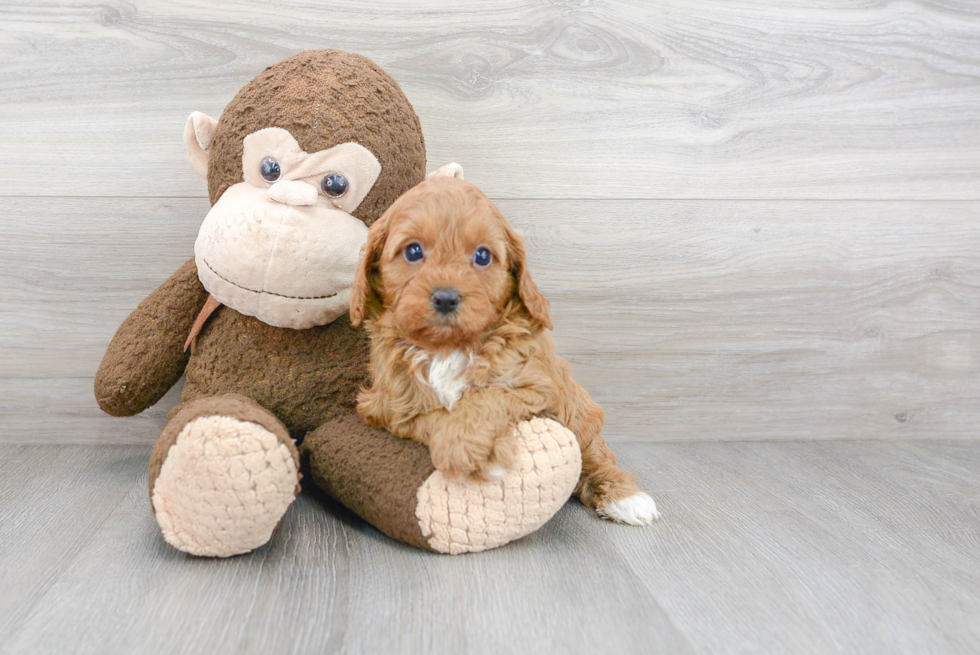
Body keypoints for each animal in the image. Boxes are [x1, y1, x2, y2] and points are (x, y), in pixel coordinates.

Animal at [350, 176, 660, 528]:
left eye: (483, 256)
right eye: (413, 251)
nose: (446, 298)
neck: (449, 347)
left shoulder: (538, 386)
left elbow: (486, 396)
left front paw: (470, 447)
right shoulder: (395, 406)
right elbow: (435, 415)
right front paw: (477, 452)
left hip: (582, 415)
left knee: (596, 456)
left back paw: (626, 498)